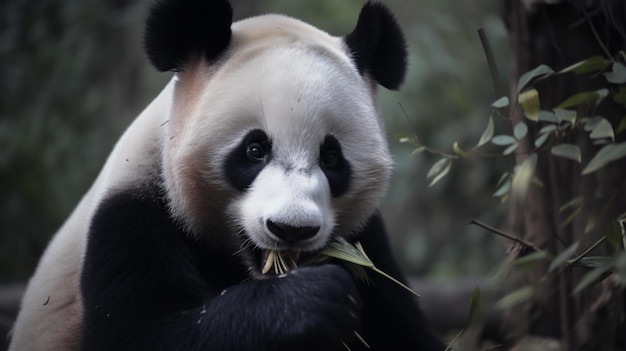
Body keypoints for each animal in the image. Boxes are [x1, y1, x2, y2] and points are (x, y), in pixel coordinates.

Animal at [8, 0, 444, 351]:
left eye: (332, 157)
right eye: (254, 150)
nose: (291, 229)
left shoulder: (365, 241)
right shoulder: (130, 217)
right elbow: (143, 333)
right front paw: (310, 301)